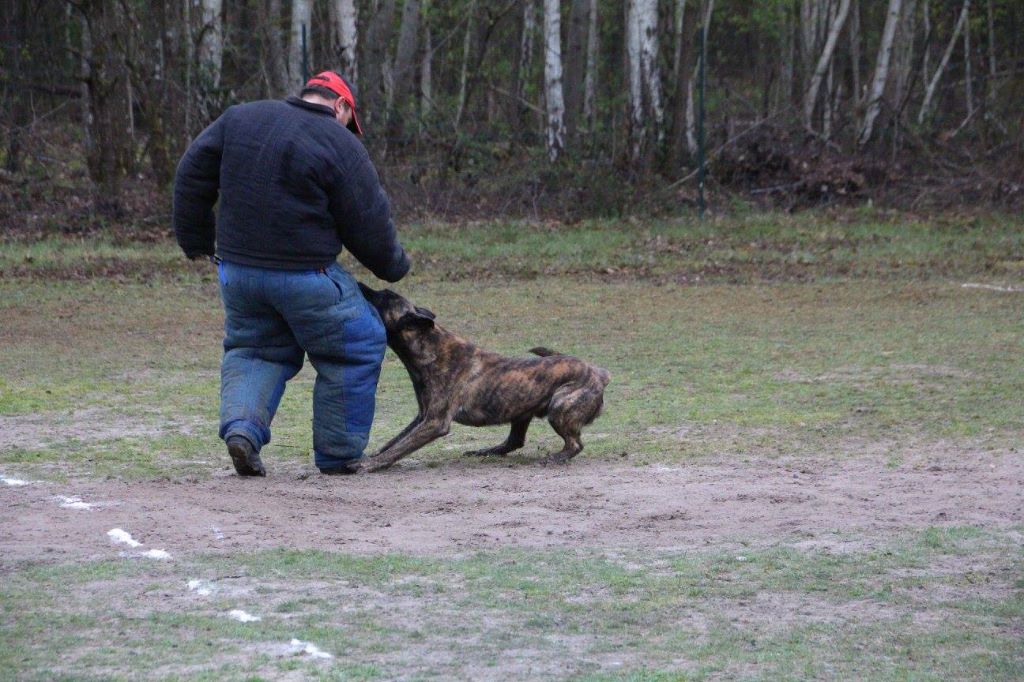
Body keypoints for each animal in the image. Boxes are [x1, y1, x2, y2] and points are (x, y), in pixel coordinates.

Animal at [360, 284, 606, 471]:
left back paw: (555, 457)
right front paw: (370, 457)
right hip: (521, 411)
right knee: (514, 442)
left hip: (559, 408)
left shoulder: (435, 422)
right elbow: (394, 442)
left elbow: (399, 448)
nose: (361, 285)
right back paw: (488, 451)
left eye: (384, 296)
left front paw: (369, 465)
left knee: (575, 445)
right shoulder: (422, 418)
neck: (431, 347)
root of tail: (599, 372)